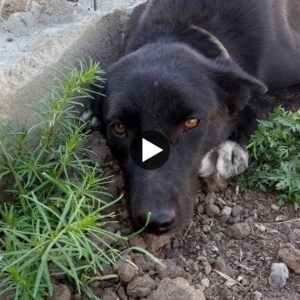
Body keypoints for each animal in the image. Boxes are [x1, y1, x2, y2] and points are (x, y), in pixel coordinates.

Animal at [83, 0, 300, 234]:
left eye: (191, 122)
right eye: (120, 127)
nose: (155, 221)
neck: (181, 27)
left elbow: (262, 101)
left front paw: (228, 148)